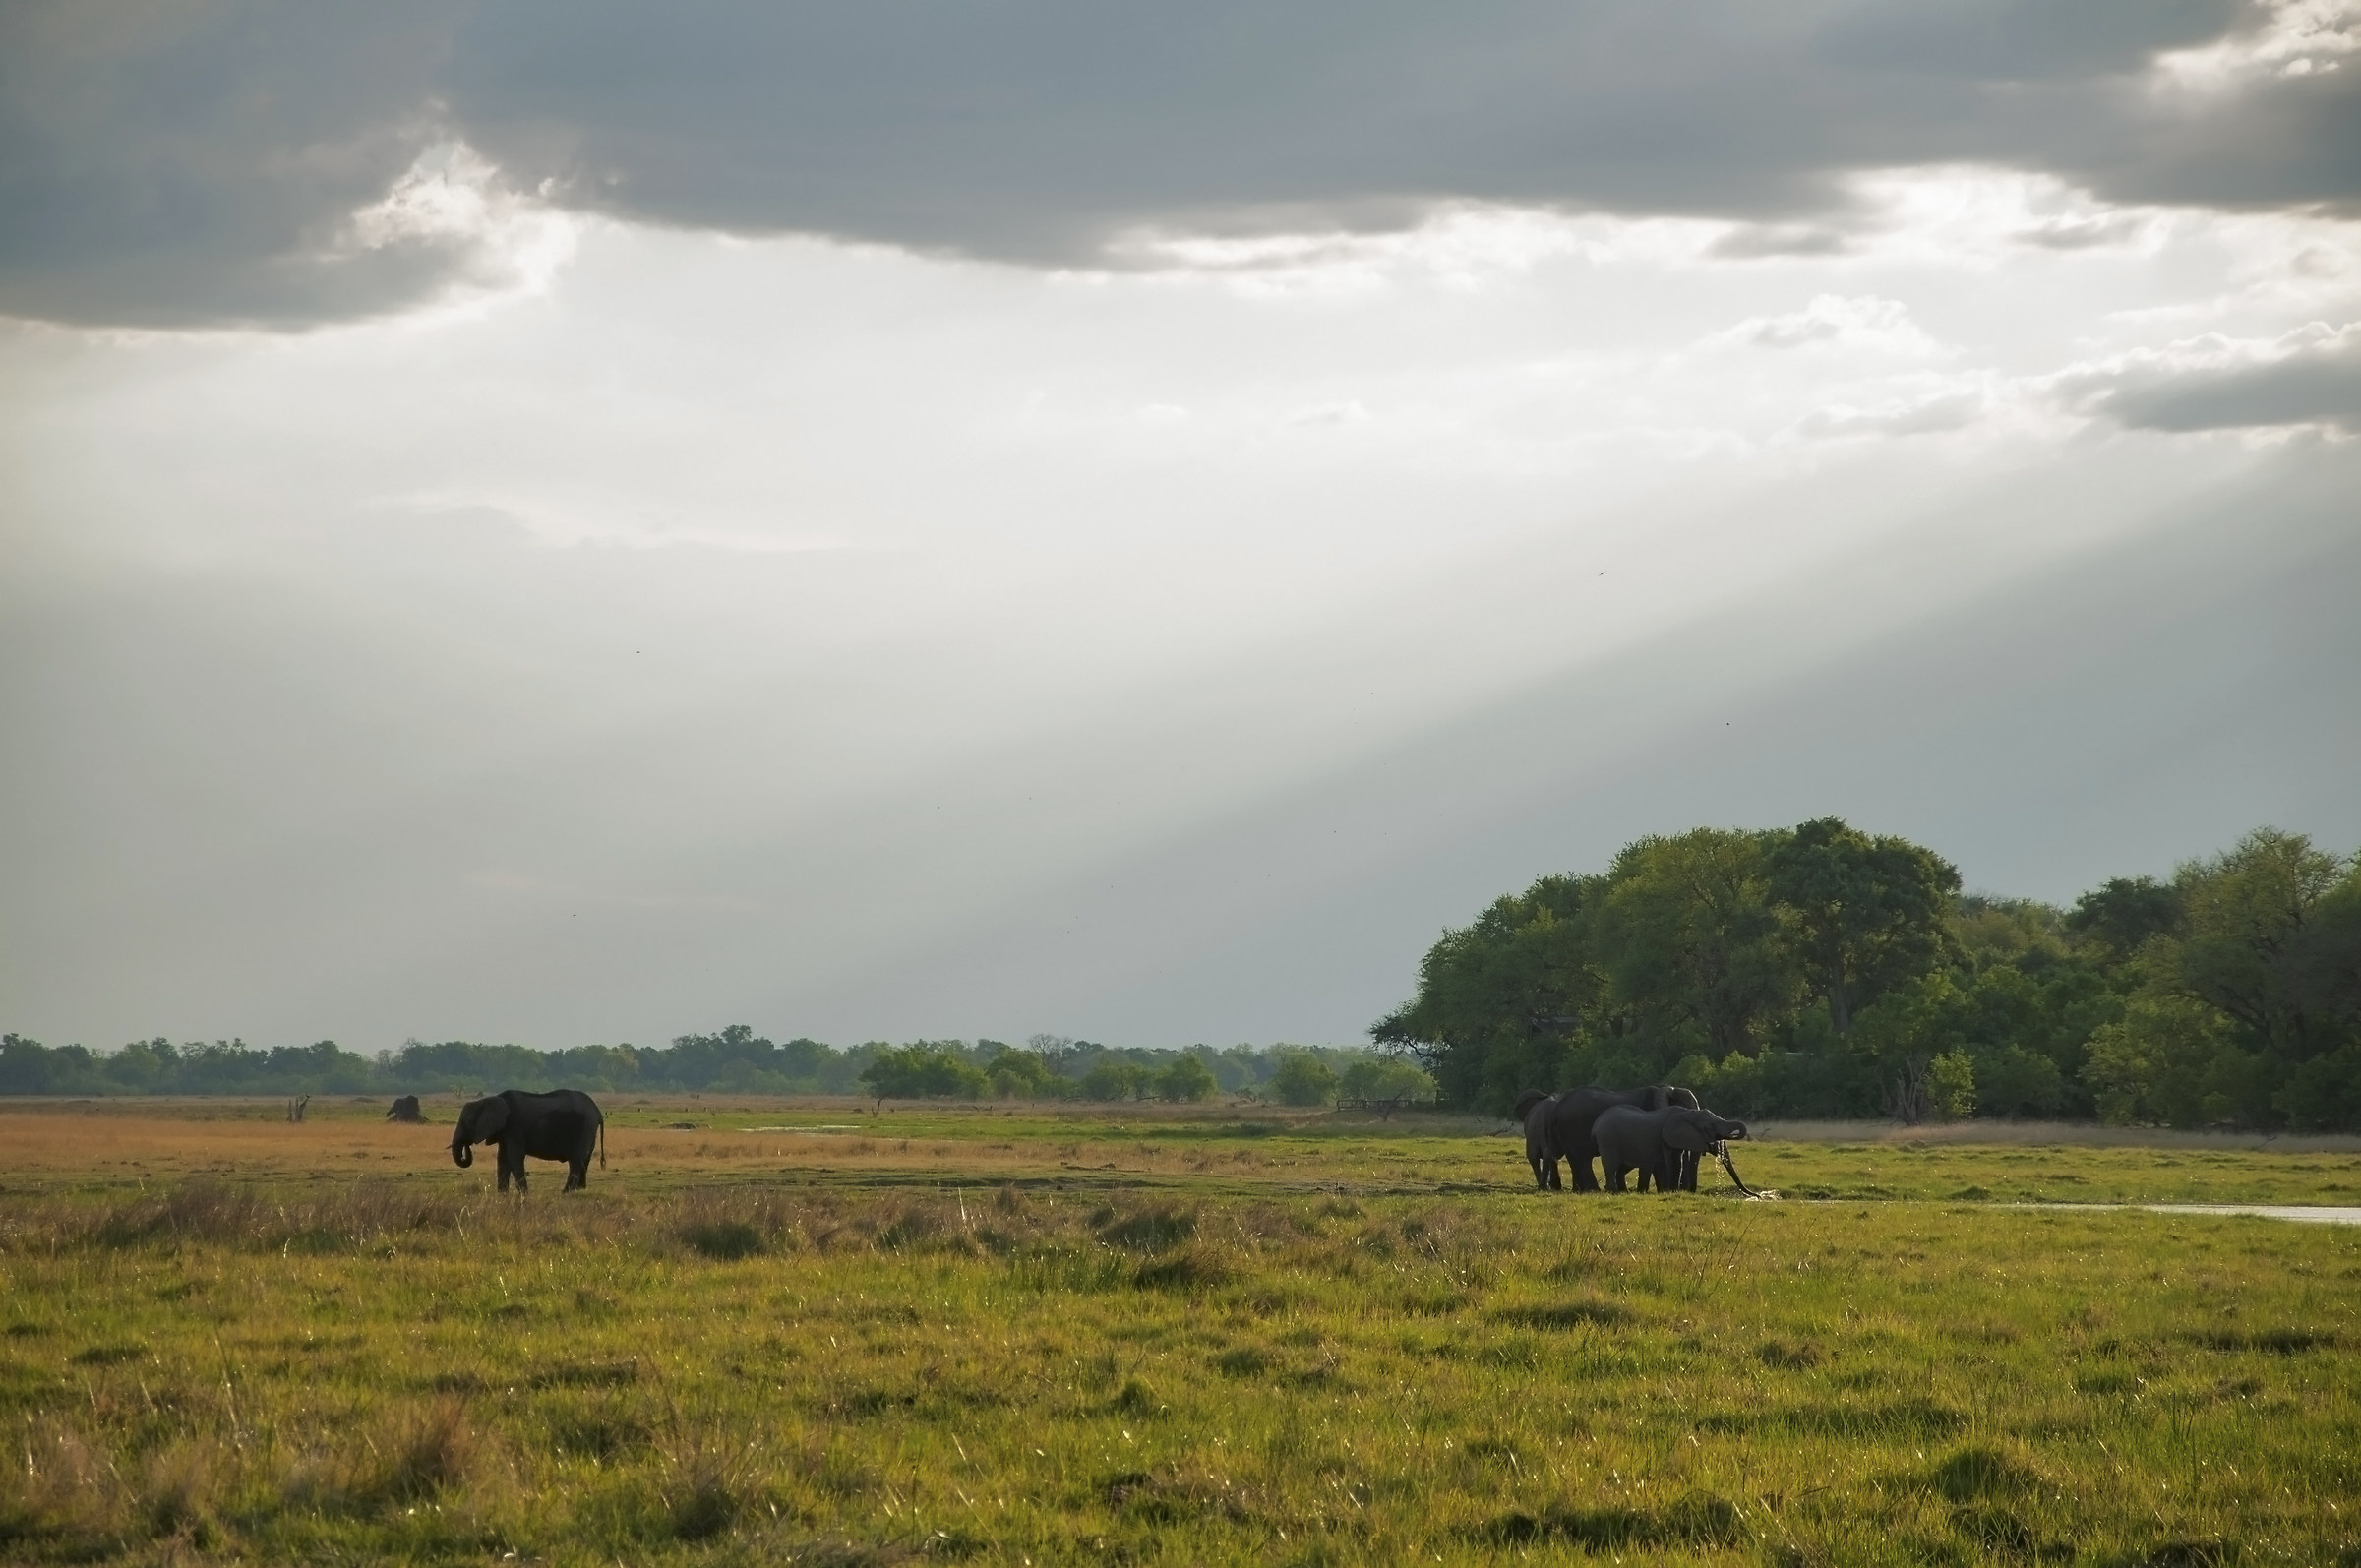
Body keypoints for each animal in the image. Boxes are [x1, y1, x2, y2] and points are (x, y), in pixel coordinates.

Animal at [446, 1086, 604, 1194]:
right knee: (585, 1159)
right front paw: (502, 1195)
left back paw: (565, 1193)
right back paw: (580, 1190)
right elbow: (502, 1158)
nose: (466, 1145)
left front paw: (524, 1194)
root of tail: (597, 1111)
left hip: (584, 1127)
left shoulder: (514, 1127)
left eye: (466, 1123)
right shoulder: (505, 1131)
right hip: (589, 1130)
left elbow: (514, 1157)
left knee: (576, 1160)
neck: (490, 1100)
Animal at [1548, 1086, 1700, 1194]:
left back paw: (1579, 1190)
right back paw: (1594, 1190)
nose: (1690, 1191)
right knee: (1583, 1159)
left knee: (1574, 1160)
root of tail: (1558, 1108)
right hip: (1574, 1128)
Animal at [1586, 1110, 1756, 1194]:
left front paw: (1670, 1191)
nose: (1758, 1196)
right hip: (1608, 1140)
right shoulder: (1665, 1139)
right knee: (1611, 1166)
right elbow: (1670, 1161)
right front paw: (1669, 1191)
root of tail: (1595, 1125)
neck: (1687, 1114)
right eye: (1711, 1127)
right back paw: (1614, 1191)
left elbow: (1676, 1160)